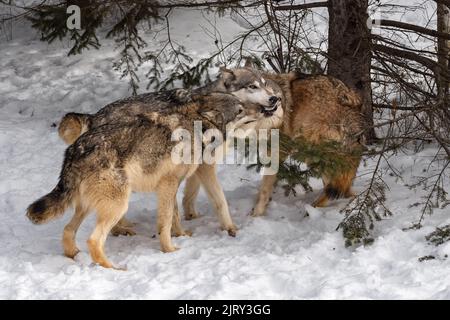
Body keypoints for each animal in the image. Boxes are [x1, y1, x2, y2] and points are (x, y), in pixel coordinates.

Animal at [26, 94, 266, 268]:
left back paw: (76, 256)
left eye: (244, 104)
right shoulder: (170, 184)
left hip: (88, 206)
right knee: (93, 240)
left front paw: (182, 235)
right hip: (118, 204)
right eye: (240, 110)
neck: (197, 128)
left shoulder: (171, 186)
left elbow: (175, 216)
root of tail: (75, 149)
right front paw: (170, 250)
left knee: (68, 230)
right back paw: (114, 269)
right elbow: (167, 220)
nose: (265, 109)